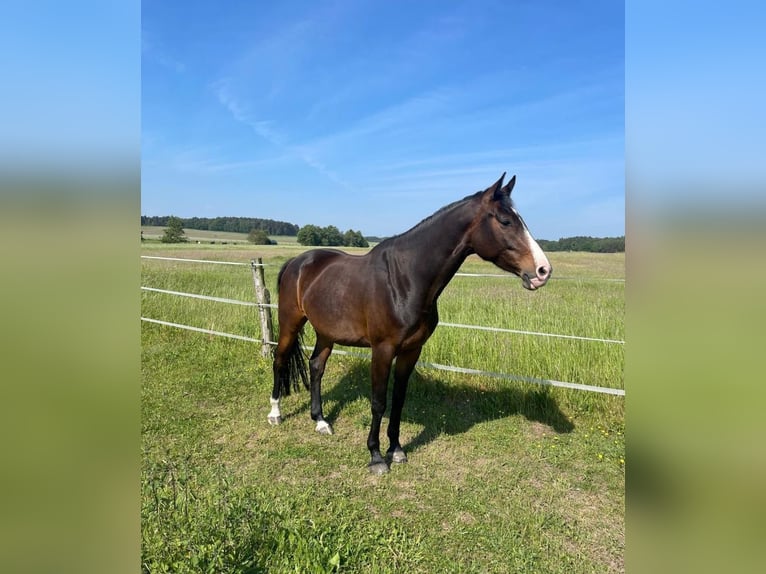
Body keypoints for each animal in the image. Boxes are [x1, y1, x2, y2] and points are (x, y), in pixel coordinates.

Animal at [270, 174, 552, 476]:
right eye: (505, 220)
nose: (543, 271)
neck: (405, 279)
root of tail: (297, 261)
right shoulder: (382, 350)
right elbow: (379, 402)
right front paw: (376, 456)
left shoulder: (411, 350)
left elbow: (398, 400)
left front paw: (396, 449)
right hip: (290, 323)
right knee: (279, 359)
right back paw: (275, 413)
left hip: (326, 332)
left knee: (316, 367)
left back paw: (321, 421)